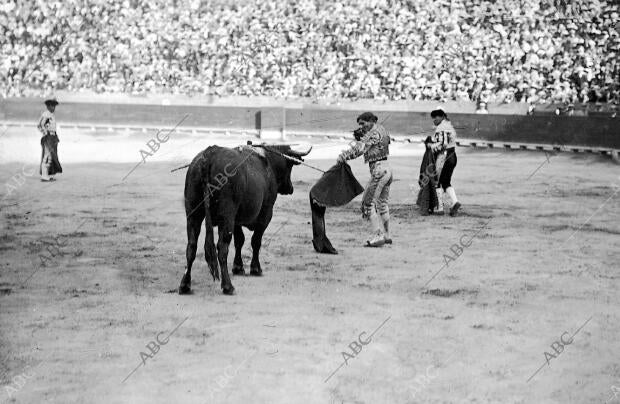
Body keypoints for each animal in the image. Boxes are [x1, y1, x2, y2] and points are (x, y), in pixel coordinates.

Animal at [178, 144, 310, 296]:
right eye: (290, 166)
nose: (291, 188)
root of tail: (210, 153)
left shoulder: (236, 221)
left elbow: (239, 241)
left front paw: (238, 267)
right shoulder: (265, 214)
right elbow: (256, 241)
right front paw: (256, 269)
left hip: (193, 214)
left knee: (191, 246)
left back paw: (185, 285)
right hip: (226, 215)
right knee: (222, 248)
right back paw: (228, 286)